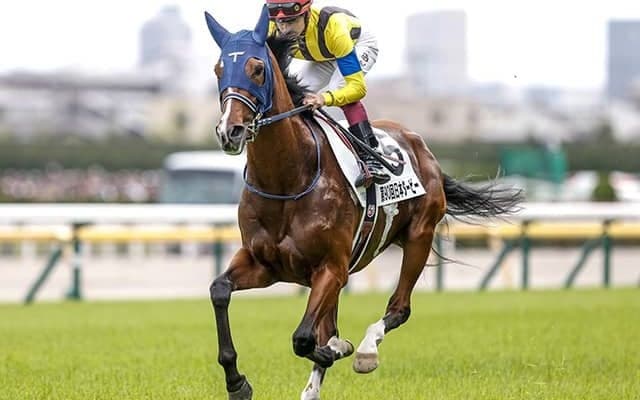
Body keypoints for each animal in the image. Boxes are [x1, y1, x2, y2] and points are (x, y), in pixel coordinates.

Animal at [204, 6, 523, 400]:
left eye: (257, 68)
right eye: (219, 69)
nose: (229, 131)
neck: (288, 179)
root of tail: (421, 145)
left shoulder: (332, 267)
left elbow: (305, 338)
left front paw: (339, 349)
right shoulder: (265, 264)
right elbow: (220, 291)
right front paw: (237, 382)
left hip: (419, 235)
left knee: (399, 308)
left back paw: (367, 350)